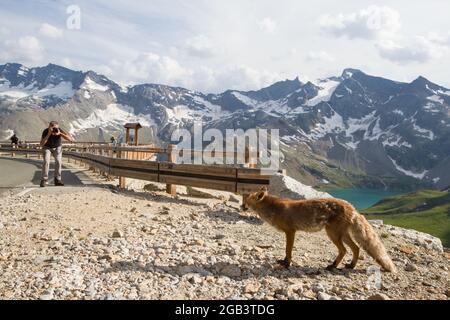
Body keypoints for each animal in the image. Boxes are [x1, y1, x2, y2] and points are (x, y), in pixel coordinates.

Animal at [241, 188, 396, 272]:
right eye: (243, 200)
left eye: (248, 201)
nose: (242, 207)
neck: (275, 210)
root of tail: (351, 207)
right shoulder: (290, 232)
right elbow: (287, 251)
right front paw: (284, 262)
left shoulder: (290, 231)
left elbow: (288, 250)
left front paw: (287, 263)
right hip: (342, 235)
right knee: (356, 248)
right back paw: (350, 265)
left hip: (333, 234)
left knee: (344, 250)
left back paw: (333, 265)